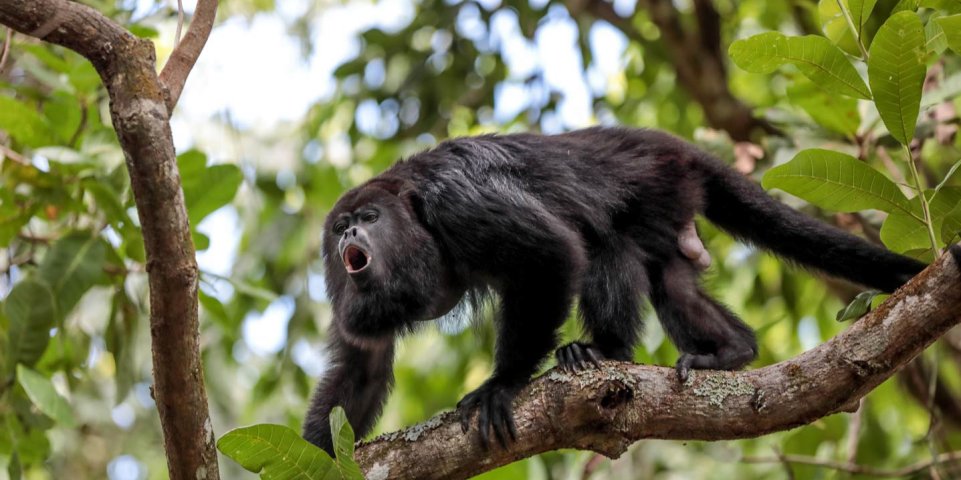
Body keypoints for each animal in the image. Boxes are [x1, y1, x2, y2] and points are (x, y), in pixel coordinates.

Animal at [302, 127, 926, 454]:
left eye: (370, 217)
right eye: (341, 226)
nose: (350, 235)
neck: (412, 213)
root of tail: (674, 145)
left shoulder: (458, 201)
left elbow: (552, 253)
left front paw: (502, 385)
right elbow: (362, 365)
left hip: (658, 183)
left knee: (605, 244)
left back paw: (602, 351)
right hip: (673, 215)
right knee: (671, 281)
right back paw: (733, 350)